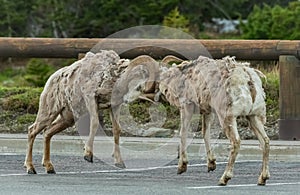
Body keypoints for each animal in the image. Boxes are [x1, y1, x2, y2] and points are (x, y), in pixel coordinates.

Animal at [23, 50, 157, 174]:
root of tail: (51, 79)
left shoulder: (114, 107)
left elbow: (117, 130)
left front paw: (119, 162)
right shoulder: (91, 99)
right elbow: (94, 123)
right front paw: (88, 155)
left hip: (67, 119)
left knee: (47, 133)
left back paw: (49, 167)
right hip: (48, 112)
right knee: (32, 130)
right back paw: (30, 168)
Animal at [125, 54, 270, 186]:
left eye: (138, 86)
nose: (125, 99)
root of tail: (247, 79)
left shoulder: (186, 107)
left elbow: (183, 133)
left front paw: (182, 167)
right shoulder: (207, 111)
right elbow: (205, 133)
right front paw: (211, 164)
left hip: (228, 117)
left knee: (236, 142)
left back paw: (224, 178)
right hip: (254, 116)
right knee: (265, 142)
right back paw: (262, 178)